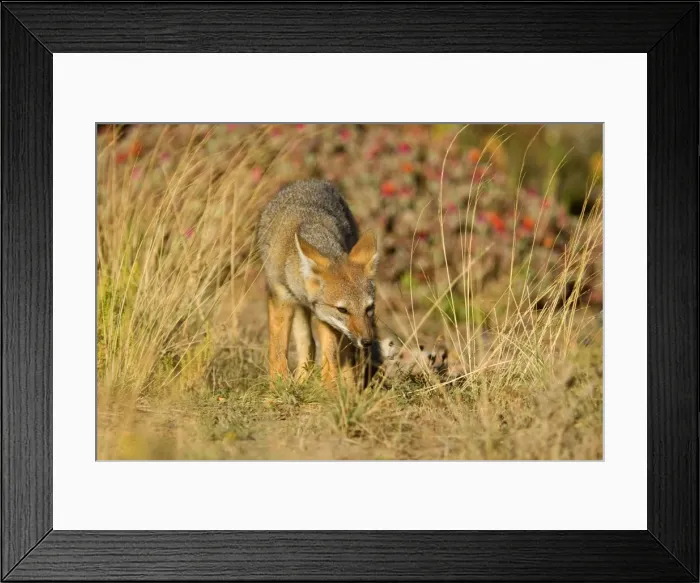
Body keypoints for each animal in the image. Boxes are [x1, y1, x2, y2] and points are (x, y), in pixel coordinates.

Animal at [255, 179, 380, 386]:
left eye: (369, 308)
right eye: (343, 310)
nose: (367, 342)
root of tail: (310, 181)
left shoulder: (326, 319)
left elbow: (330, 359)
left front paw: (331, 389)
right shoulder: (281, 299)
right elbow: (278, 351)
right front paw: (279, 385)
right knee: (308, 344)